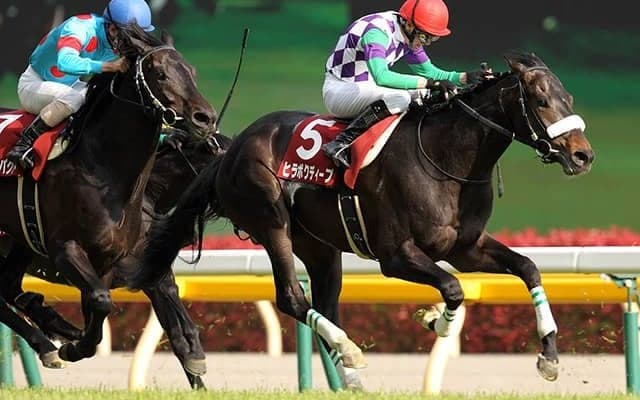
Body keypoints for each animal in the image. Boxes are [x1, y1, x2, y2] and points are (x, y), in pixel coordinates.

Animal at [0, 23, 217, 370]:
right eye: (159, 73)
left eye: (192, 71)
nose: (205, 117)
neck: (101, 169)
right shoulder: (66, 248)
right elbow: (101, 301)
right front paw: (74, 346)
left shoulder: (111, 261)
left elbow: (103, 307)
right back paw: (49, 340)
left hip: (21, 240)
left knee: (7, 284)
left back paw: (48, 335)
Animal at [131, 52, 594, 385]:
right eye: (540, 101)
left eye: (569, 98)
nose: (582, 155)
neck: (446, 158)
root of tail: (232, 150)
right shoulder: (396, 255)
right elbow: (453, 288)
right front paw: (436, 322)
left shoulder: (465, 247)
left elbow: (528, 268)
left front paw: (549, 357)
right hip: (271, 220)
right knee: (292, 298)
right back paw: (350, 353)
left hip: (319, 247)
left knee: (325, 304)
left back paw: (351, 376)